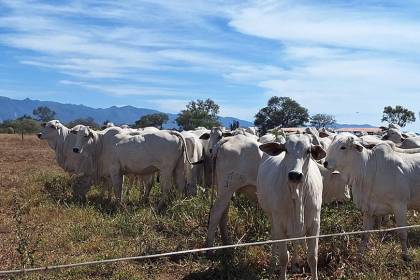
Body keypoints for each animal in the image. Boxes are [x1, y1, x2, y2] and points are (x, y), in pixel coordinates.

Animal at [256, 134, 324, 280]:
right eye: (285, 150)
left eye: (308, 151)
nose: (295, 175)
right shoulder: (280, 224)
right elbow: (283, 257)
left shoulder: (315, 224)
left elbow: (312, 257)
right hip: (271, 217)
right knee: (274, 237)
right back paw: (272, 265)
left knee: (296, 240)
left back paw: (295, 263)